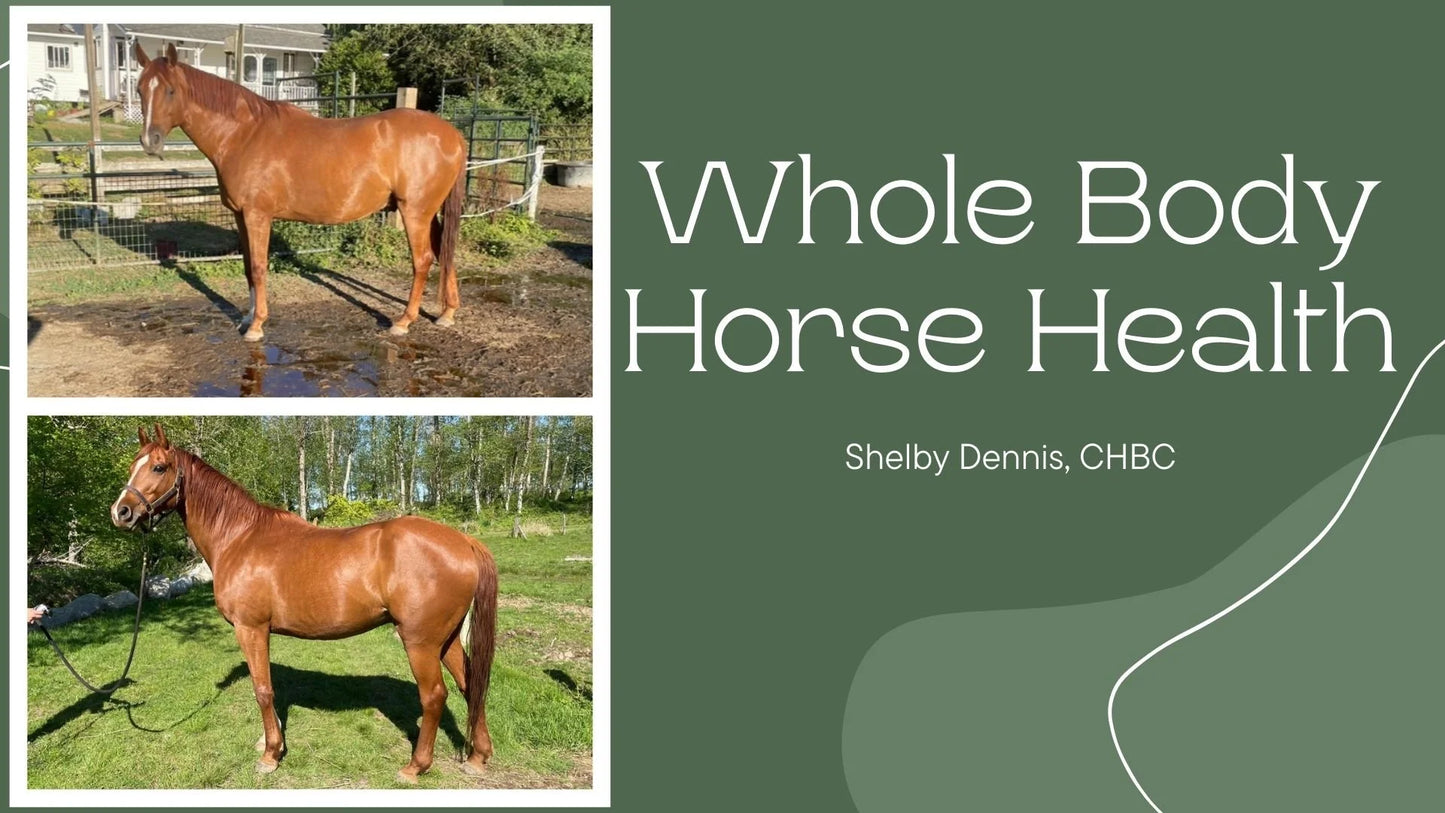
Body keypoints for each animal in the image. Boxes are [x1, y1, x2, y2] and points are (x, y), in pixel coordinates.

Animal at [109, 424, 498, 782]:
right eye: (131, 465)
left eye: (159, 467)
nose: (121, 512)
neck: (239, 538)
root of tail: (464, 541)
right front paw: (271, 741)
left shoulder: (251, 629)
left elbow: (263, 690)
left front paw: (270, 755)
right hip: (445, 640)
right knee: (470, 686)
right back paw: (478, 757)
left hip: (420, 642)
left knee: (434, 696)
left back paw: (415, 766)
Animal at [133, 43, 468, 342]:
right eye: (140, 89)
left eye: (170, 91)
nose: (150, 141)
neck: (244, 135)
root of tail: (453, 134)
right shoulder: (241, 216)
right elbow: (247, 267)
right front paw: (247, 318)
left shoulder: (257, 215)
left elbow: (258, 267)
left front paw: (257, 326)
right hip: (429, 213)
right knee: (443, 251)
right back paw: (447, 314)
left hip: (415, 212)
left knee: (423, 260)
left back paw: (403, 321)